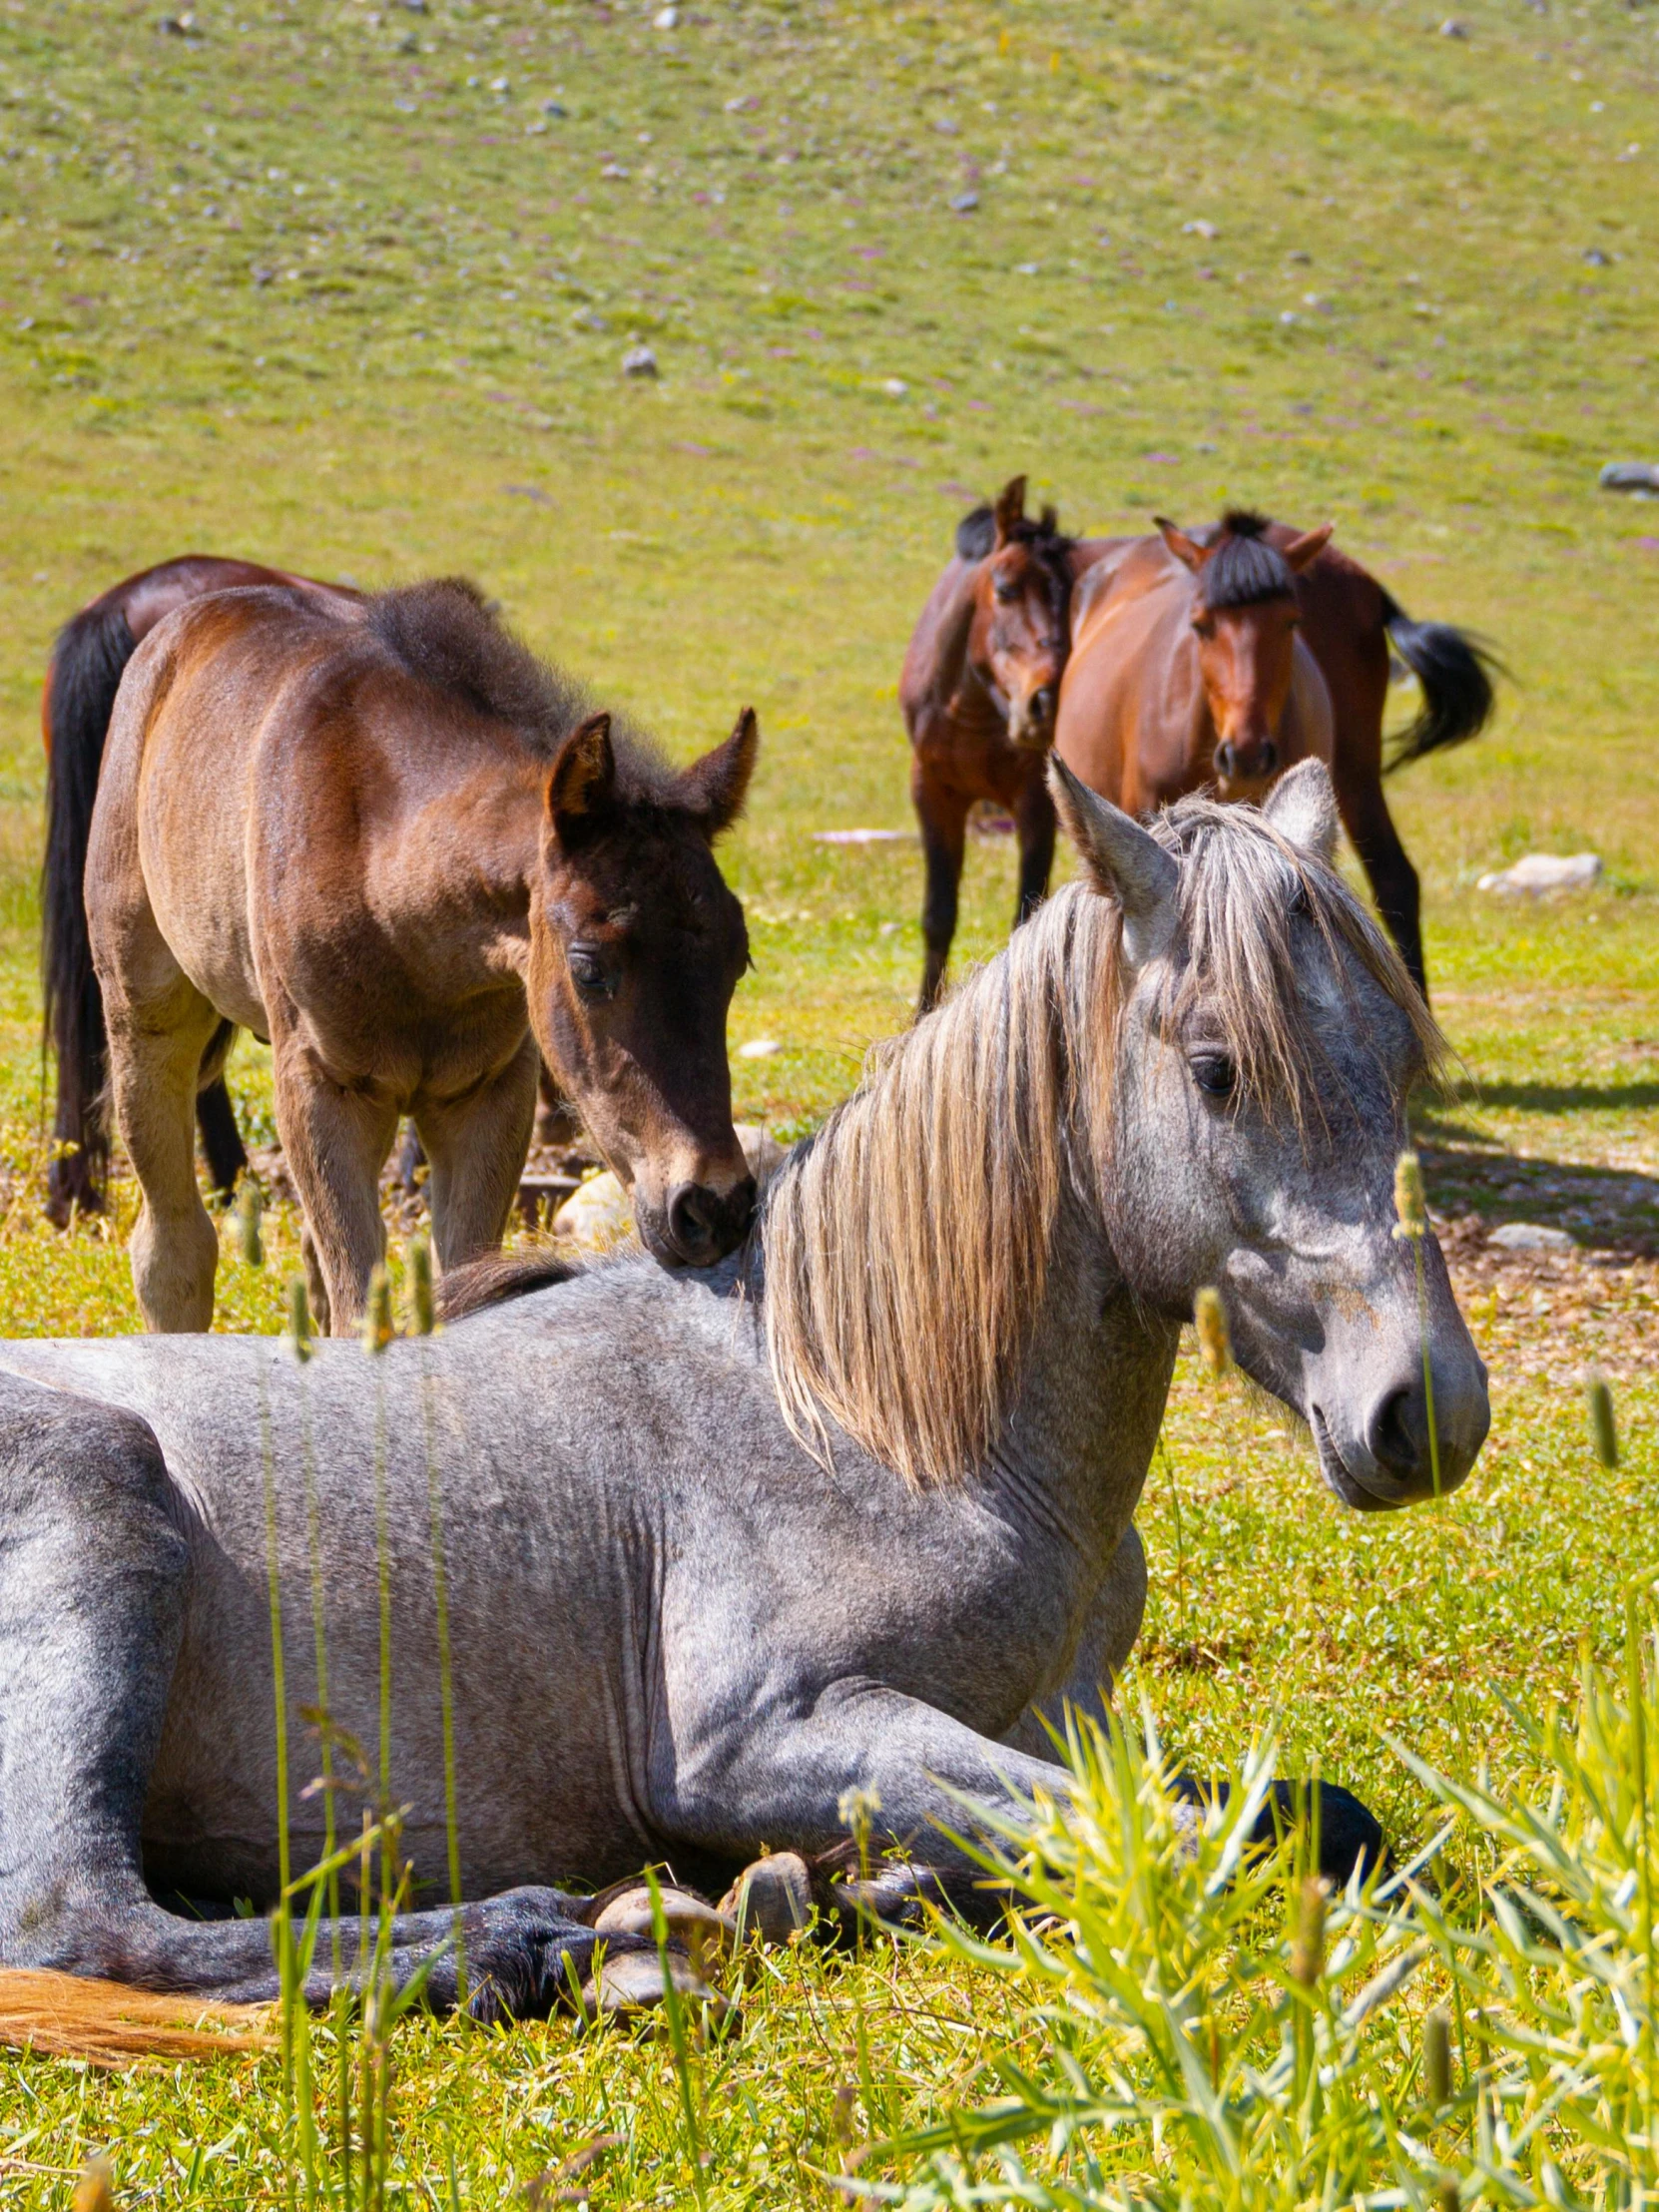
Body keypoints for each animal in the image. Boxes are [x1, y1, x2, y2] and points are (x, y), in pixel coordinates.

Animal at [0, 761, 1495, 2025]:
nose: (1425, 1409)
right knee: (85, 1915)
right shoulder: (762, 1738)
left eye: (1398, 1057)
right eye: (1216, 1067)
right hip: (102, 1523)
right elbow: (1174, 1842)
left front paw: (875, 1885)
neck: (875, 1423)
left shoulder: (1069, 1727)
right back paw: (522, 1942)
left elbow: (1301, 1816)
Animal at [70, 575, 761, 1327]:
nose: (714, 1207)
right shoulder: (321, 1089)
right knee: (172, 1250)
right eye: (588, 968)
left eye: (739, 962)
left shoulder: (487, 1097)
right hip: (146, 1018)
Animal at [902, 484, 1110, 1012]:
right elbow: (938, 914)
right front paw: (923, 1014)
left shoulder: (1034, 802)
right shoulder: (933, 792)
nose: (1047, 700)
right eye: (1006, 589)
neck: (972, 707)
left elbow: (1026, 917)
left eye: (1070, 598)